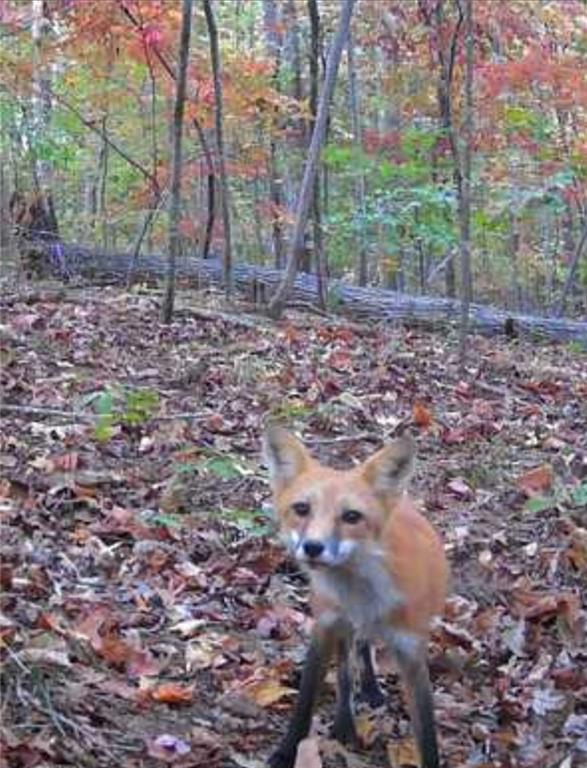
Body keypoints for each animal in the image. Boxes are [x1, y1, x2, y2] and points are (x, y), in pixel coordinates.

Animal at [262, 426, 450, 768]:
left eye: (351, 516)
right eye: (301, 509)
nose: (313, 547)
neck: (362, 595)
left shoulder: (411, 651)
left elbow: (427, 733)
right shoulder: (325, 626)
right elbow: (306, 700)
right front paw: (286, 752)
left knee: (362, 647)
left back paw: (370, 689)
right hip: (340, 626)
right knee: (347, 666)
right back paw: (345, 722)